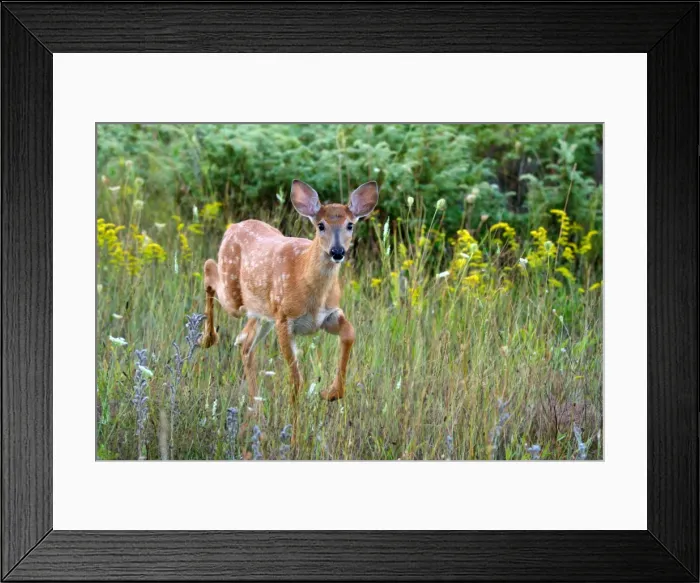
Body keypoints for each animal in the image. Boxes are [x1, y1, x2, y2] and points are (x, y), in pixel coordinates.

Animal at [199, 179, 379, 407]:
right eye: (321, 225)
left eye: (350, 225)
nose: (337, 251)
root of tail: (232, 227)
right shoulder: (284, 319)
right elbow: (296, 380)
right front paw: (295, 415)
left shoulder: (329, 314)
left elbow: (350, 334)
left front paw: (330, 393)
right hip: (235, 295)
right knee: (209, 268)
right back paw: (207, 339)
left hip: (262, 312)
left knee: (245, 342)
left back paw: (255, 405)